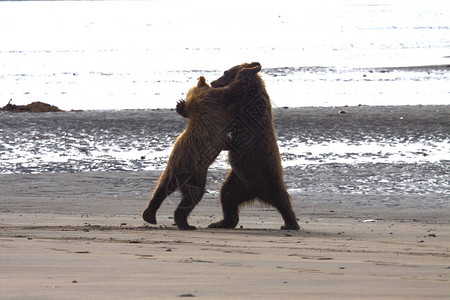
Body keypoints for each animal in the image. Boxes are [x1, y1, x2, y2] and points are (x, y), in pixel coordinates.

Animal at [172, 62, 298, 230]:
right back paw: (220, 222)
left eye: (225, 72)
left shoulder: (240, 102)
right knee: (227, 196)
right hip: (238, 179)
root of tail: (255, 192)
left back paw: (291, 223)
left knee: (281, 199)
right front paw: (181, 105)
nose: (213, 82)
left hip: (266, 174)